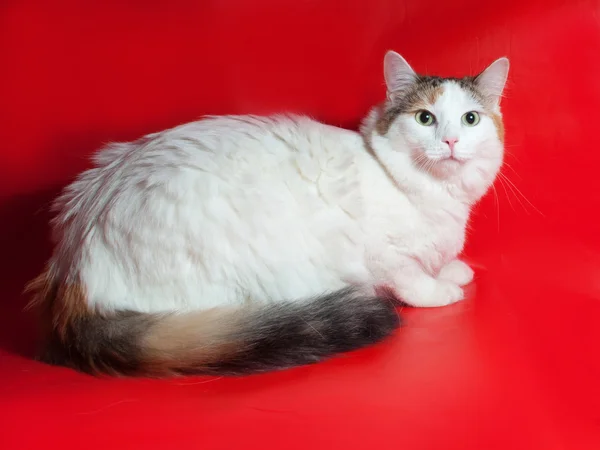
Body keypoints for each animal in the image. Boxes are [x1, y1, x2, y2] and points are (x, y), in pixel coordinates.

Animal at [25, 51, 508, 378]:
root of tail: (71, 266)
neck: (436, 195)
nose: (450, 142)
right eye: (425, 119)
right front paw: (441, 290)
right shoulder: (380, 254)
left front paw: (452, 270)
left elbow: (438, 262)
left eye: (470, 119)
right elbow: (412, 280)